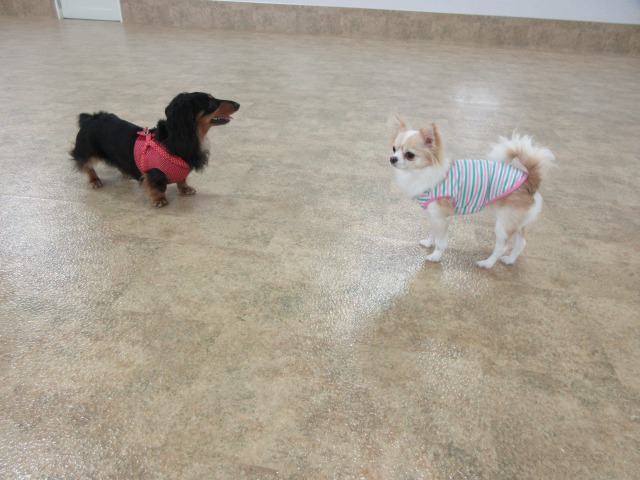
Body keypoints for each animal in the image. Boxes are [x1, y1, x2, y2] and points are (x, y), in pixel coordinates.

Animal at [70, 92, 240, 207]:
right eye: (211, 102)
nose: (238, 104)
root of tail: (90, 118)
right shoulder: (154, 172)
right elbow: (158, 186)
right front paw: (159, 199)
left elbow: (182, 179)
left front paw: (185, 189)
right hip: (88, 151)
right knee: (87, 165)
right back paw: (94, 180)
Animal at [389, 114, 555, 268]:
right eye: (394, 149)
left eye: (409, 155)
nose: (392, 158)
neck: (421, 172)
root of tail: (530, 181)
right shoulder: (432, 215)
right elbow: (432, 233)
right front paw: (429, 243)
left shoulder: (441, 218)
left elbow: (441, 242)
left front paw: (436, 256)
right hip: (515, 223)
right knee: (521, 242)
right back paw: (510, 260)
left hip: (504, 224)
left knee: (502, 247)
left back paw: (487, 263)